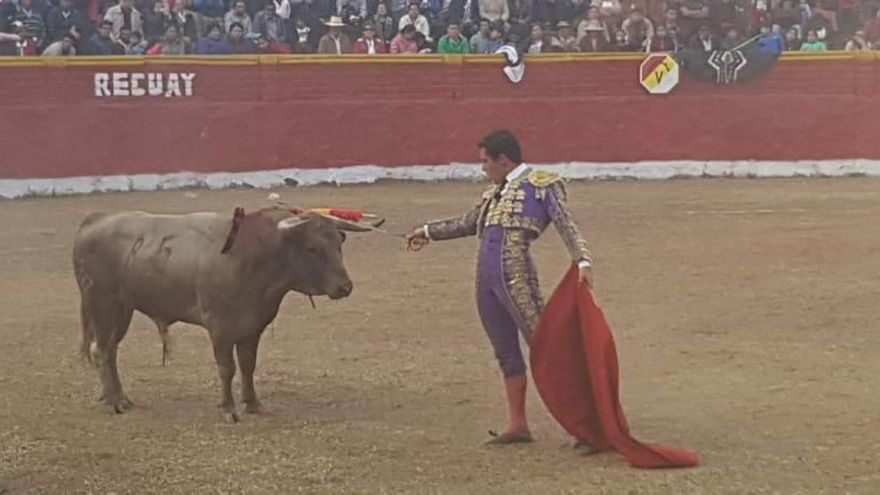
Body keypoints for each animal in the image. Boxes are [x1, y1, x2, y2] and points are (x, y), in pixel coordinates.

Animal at [74, 207, 376, 420]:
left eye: (339, 243)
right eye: (312, 248)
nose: (345, 287)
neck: (252, 258)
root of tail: (94, 219)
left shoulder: (252, 327)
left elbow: (247, 365)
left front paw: (252, 404)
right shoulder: (219, 327)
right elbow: (227, 367)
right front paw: (229, 409)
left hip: (122, 309)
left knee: (110, 350)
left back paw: (115, 396)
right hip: (102, 303)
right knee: (101, 349)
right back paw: (114, 401)